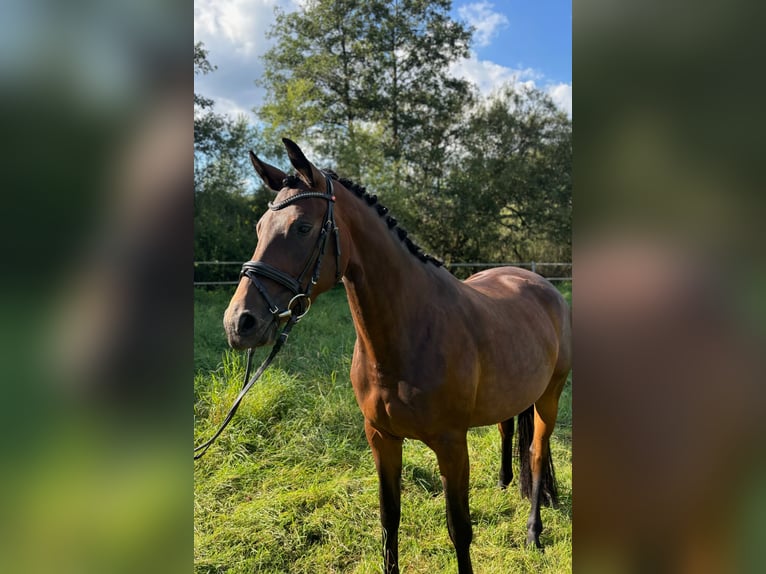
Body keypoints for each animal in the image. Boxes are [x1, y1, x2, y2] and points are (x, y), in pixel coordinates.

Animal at [222, 137, 568, 572]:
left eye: (302, 227)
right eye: (258, 228)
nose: (239, 323)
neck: (409, 334)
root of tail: (542, 284)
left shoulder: (452, 445)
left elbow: (459, 529)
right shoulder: (381, 438)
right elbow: (390, 518)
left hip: (550, 397)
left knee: (537, 456)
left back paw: (533, 534)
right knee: (508, 430)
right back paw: (506, 485)